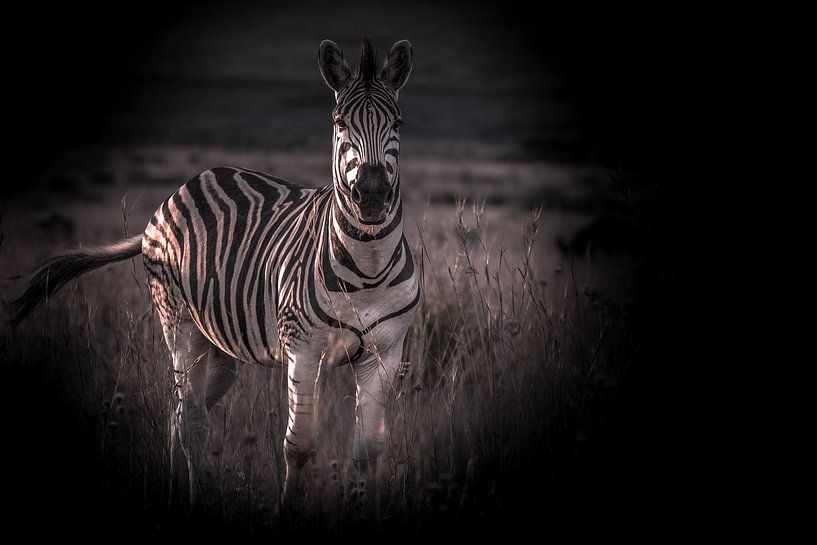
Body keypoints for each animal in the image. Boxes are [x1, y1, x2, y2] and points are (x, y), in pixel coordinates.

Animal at [9, 37, 418, 514]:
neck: (367, 268)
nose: (370, 196)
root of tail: (181, 188)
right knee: (191, 419)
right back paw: (198, 497)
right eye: (339, 123)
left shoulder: (385, 353)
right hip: (179, 324)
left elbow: (368, 451)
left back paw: (173, 491)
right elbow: (298, 447)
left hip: (219, 347)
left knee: (179, 411)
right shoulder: (304, 349)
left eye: (398, 123)